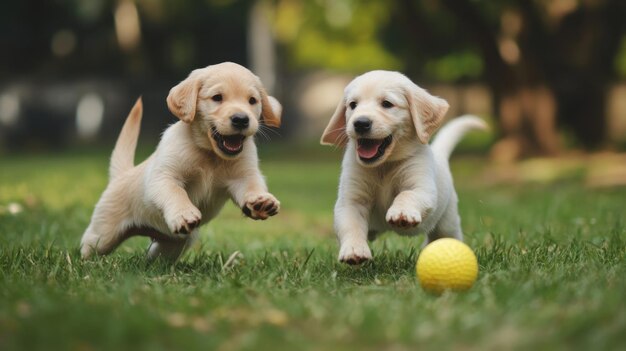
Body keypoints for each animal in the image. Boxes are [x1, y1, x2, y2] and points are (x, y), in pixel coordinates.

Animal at [81, 62, 282, 262]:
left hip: (174, 244)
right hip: (104, 232)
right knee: (89, 245)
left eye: (252, 100)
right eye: (217, 97)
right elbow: (176, 192)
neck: (210, 154)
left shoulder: (243, 176)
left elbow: (251, 186)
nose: (241, 119)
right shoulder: (163, 177)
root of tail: (123, 174)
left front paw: (262, 201)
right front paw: (184, 214)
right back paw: (86, 263)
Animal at [320, 71, 486, 264]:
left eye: (387, 104)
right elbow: (351, 225)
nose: (360, 123)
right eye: (353, 105)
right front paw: (354, 251)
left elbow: (407, 194)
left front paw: (402, 213)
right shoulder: (351, 200)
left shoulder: (422, 188)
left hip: (447, 222)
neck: (384, 165)